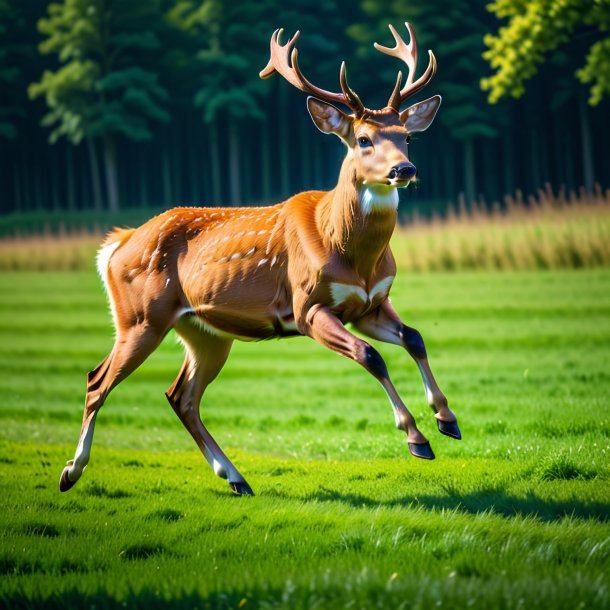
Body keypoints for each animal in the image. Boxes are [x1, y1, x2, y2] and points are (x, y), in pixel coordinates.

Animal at [60, 23, 460, 496]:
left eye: (407, 136)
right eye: (363, 139)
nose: (404, 169)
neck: (350, 252)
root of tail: (117, 244)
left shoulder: (370, 305)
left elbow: (415, 338)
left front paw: (447, 419)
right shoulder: (307, 307)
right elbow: (370, 356)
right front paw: (416, 437)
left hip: (204, 331)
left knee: (181, 395)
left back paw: (235, 478)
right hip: (139, 318)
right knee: (97, 381)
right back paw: (71, 472)